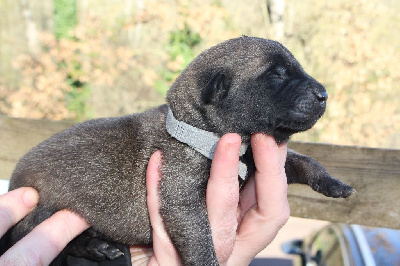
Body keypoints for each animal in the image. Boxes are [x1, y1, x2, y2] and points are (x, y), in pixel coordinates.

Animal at [0, 36, 354, 264]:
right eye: (276, 75)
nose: (324, 94)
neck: (199, 131)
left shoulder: (253, 157)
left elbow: (303, 160)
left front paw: (333, 183)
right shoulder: (182, 202)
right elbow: (200, 244)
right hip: (42, 212)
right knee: (55, 242)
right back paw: (97, 247)